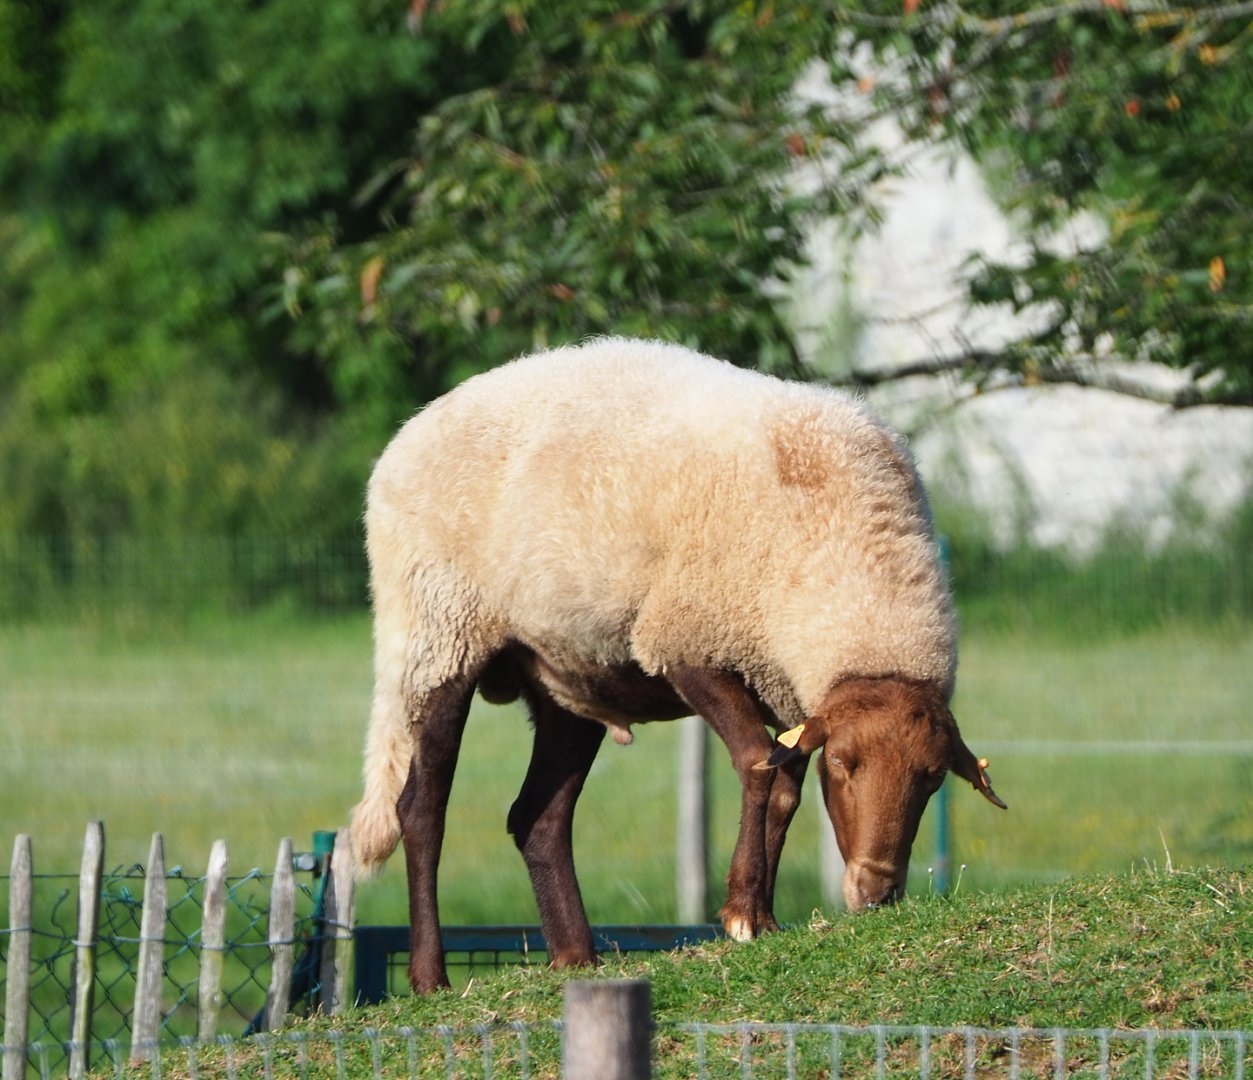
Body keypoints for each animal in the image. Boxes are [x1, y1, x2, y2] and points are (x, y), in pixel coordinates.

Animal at [350, 336, 1006, 993]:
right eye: (844, 765)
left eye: (932, 779)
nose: (876, 893)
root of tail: (404, 439)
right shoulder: (687, 640)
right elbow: (757, 764)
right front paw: (741, 913)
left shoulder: (786, 689)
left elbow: (786, 791)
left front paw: (765, 917)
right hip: (439, 636)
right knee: (420, 812)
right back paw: (430, 977)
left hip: (566, 676)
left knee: (538, 819)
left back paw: (577, 958)